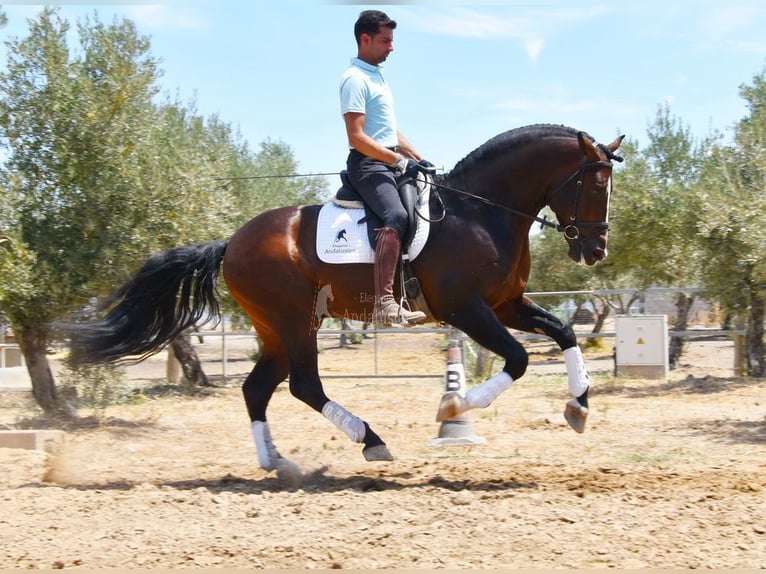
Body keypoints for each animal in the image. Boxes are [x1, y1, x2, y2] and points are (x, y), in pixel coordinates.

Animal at [67, 125, 624, 482]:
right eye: (594, 184)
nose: (596, 250)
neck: (478, 213)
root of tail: (231, 243)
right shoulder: (466, 308)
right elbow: (520, 358)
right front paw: (453, 405)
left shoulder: (506, 303)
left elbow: (564, 332)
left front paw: (579, 406)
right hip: (294, 322)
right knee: (304, 386)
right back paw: (370, 440)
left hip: (276, 328)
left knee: (257, 389)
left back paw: (279, 464)